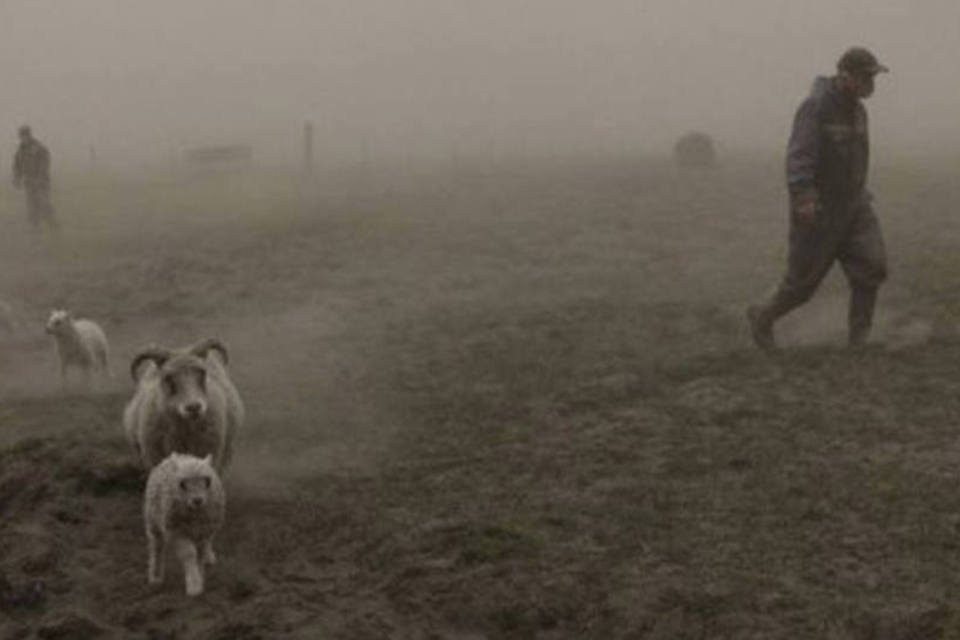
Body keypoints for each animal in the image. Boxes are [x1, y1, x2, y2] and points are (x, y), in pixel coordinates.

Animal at [123, 340, 244, 470]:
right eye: (168, 377)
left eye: (202, 372)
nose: (194, 407)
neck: (185, 430)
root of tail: (182, 349)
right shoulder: (154, 458)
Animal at [144, 452, 225, 596]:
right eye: (182, 484)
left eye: (207, 481)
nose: (197, 500)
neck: (194, 517)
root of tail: (183, 455)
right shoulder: (177, 531)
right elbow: (189, 554)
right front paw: (194, 585)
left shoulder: (203, 531)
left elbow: (199, 555)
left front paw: (199, 577)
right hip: (153, 521)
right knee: (157, 548)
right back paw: (156, 576)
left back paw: (209, 557)